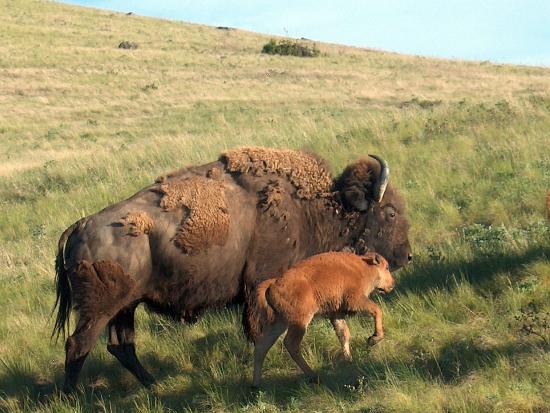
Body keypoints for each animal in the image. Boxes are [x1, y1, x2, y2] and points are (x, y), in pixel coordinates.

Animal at [252, 249, 398, 388]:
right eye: (386, 267)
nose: (392, 284)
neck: (364, 266)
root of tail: (273, 284)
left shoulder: (336, 314)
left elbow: (343, 334)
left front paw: (349, 360)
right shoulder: (355, 300)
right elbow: (377, 310)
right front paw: (374, 338)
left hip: (279, 323)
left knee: (262, 346)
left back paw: (256, 385)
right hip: (299, 321)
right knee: (290, 344)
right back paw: (314, 376)